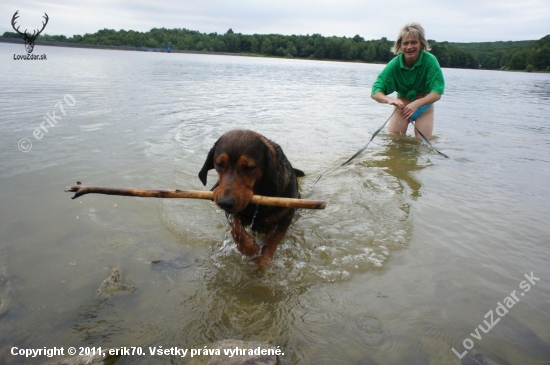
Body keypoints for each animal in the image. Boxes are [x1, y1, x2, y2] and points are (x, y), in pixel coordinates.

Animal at [199, 129, 306, 268]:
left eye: (249, 167)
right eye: (219, 164)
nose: (225, 203)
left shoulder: (285, 217)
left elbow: (271, 242)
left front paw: (262, 262)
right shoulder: (232, 213)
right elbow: (236, 227)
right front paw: (249, 248)